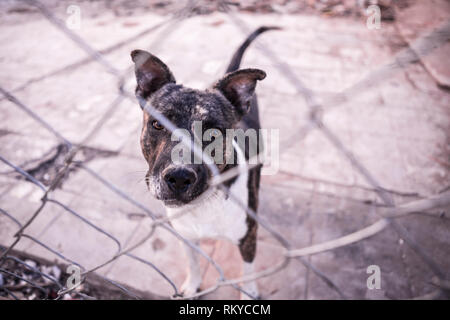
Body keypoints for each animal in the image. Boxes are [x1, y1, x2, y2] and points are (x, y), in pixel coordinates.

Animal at [130, 26, 278, 298]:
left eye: (214, 133)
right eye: (157, 124)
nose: (179, 177)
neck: (204, 204)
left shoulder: (248, 238)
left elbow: (248, 270)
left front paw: (249, 292)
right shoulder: (186, 235)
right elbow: (192, 261)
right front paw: (192, 285)